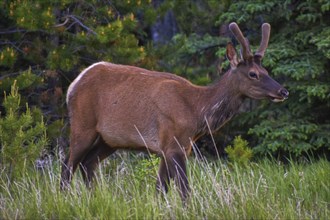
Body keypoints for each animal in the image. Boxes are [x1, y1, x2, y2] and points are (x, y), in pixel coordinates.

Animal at [60, 22, 288, 201]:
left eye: (266, 70)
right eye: (253, 74)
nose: (283, 91)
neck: (197, 112)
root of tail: (73, 85)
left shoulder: (174, 147)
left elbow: (160, 189)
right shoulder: (173, 143)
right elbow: (184, 190)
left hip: (110, 139)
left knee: (87, 164)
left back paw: (96, 198)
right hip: (82, 125)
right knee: (67, 166)